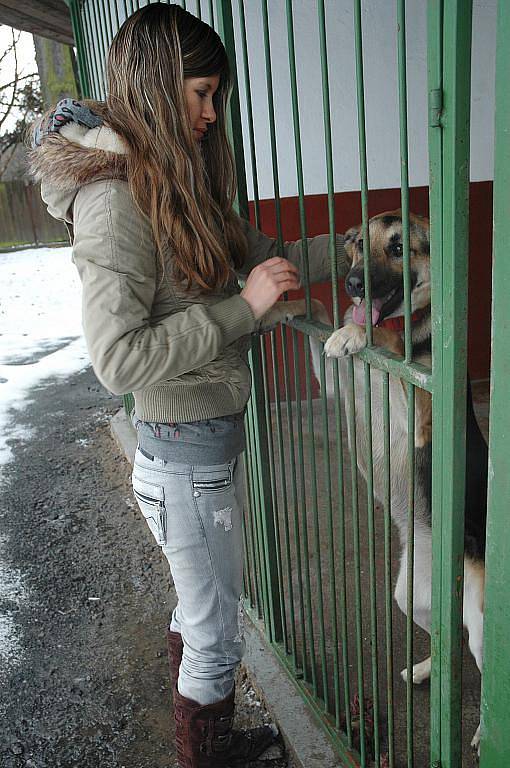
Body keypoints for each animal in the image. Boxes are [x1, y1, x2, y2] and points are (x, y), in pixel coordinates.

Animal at [308, 208, 488, 752]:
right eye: (356, 244)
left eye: (398, 247)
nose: (352, 284)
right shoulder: (340, 386)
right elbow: (317, 327)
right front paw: (293, 301)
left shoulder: (424, 405)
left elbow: (388, 341)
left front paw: (355, 334)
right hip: (413, 597)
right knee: (450, 639)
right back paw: (429, 671)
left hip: (482, 618)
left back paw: (481, 732)